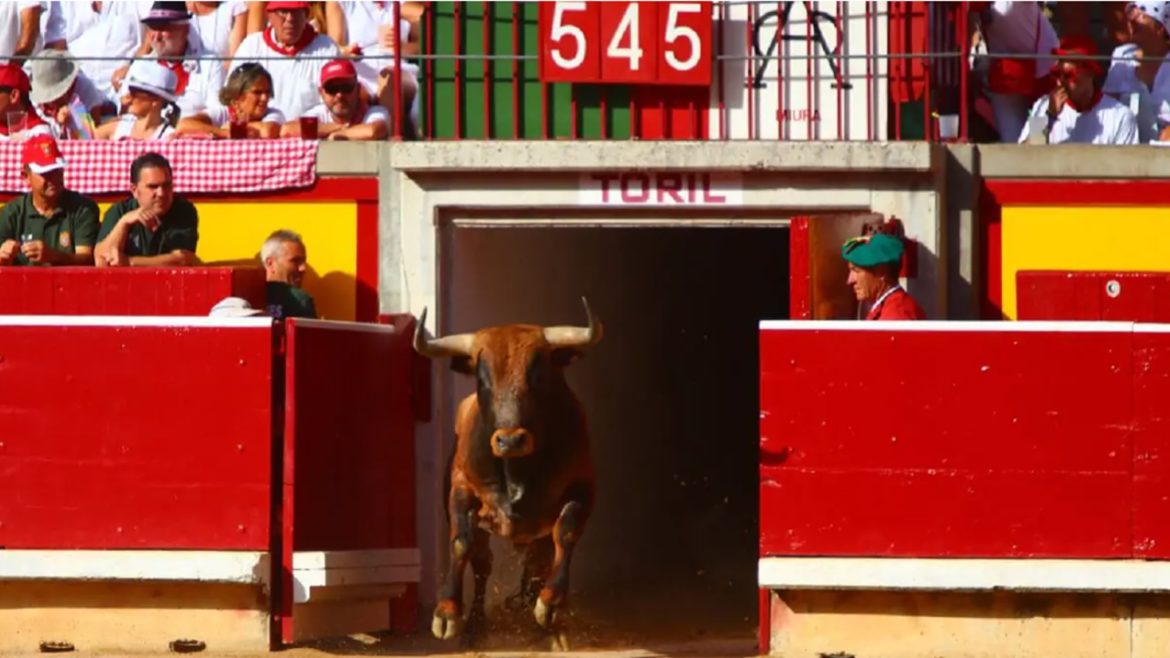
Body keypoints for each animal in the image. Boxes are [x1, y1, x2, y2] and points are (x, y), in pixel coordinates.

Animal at [414, 297, 603, 646]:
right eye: (482, 379)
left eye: (539, 377)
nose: (510, 440)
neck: (518, 470)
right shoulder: (461, 489)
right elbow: (460, 543)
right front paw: (447, 613)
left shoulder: (584, 486)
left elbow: (566, 532)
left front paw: (550, 604)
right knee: (482, 566)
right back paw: (475, 623)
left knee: (537, 561)